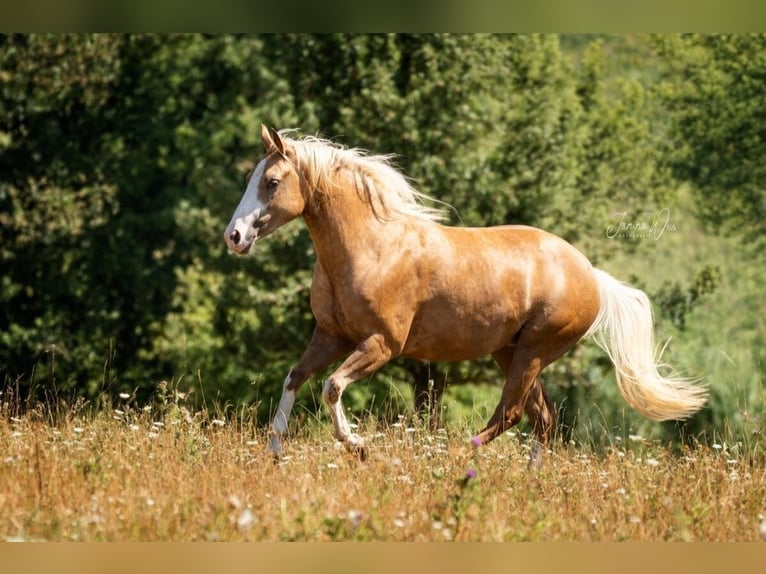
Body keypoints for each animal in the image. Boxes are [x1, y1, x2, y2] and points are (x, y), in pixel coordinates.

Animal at [224, 124, 707, 466]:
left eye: (271, 182)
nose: (234, 236)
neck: (371, 246)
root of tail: (592, 275)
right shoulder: (330, 336)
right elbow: (294, 378)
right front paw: (273, 452)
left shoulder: (381, 344)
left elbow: (331, 387)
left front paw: (358, 445)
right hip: (510, 353)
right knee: (543, 417)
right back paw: (530, 482)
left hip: (533, 351)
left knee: (511, 414)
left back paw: (454, 458)